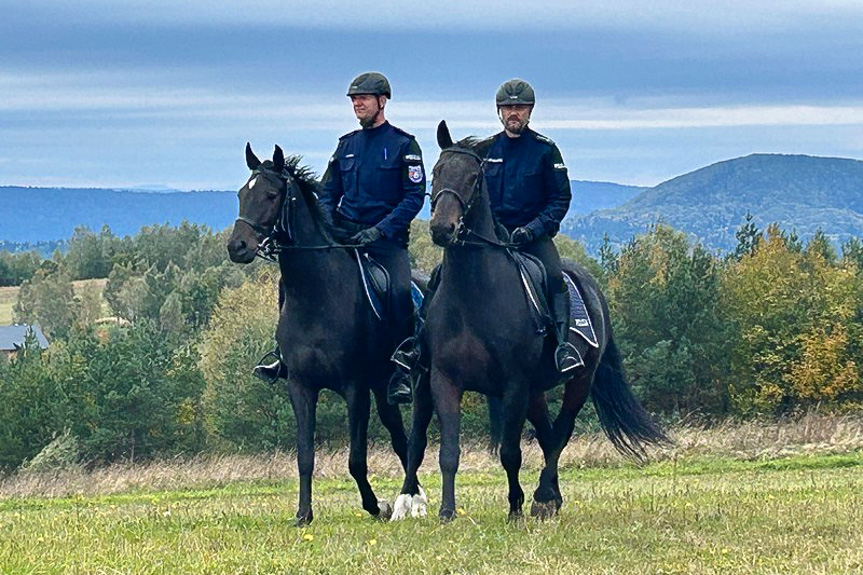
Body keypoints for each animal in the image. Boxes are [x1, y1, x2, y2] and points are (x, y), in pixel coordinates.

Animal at [226, 145, 408, 528]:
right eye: (240, 194)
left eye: (271, 195)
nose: (238, 247)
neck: (318, 295)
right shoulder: (301, 386)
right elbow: (305, 455)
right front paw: (303, 514)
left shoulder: (355, 388)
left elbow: (356, 459)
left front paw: (375, 506)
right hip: (381, 387)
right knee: (400, 437)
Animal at [392, 124, 668, 524]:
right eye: (437, 172)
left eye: (474, 178)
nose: (443, 229)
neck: (474, 295)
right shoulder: (445, 379)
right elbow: (449, 452)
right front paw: (446, 511)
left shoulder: (514, 385)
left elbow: (511, 452)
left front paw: (515, 508)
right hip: (535, 390)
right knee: (548, 434)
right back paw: (549, 498)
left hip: (578, 381)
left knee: (561, 433)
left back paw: (542, 497)